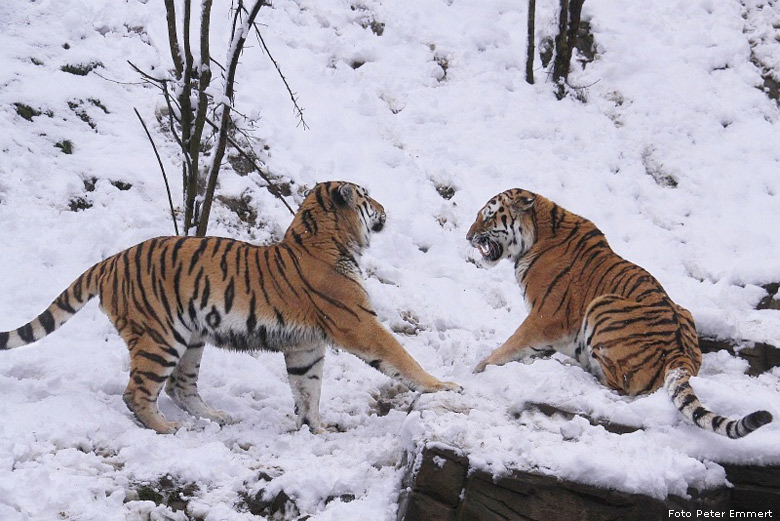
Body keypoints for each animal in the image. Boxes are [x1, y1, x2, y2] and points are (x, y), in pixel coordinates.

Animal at [0, 181, 460, 432]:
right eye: (366, 197)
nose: (384, 210)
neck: (326, 238)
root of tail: (112, 258)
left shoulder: (305, 345)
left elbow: (308, 388)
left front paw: (316, 428)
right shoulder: (359, 323)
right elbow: (400, 356)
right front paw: (443, 386)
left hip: (190, 338)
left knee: (180, 386)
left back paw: (217, 417)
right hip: (159, 338)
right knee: (137, 392)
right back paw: (167, 428)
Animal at [466, 189, 772, 436]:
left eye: (488, 217)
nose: (468, 237)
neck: (539, 232)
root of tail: (680, 353)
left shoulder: (545, 316)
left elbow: (511, 344)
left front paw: (479, 368)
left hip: (603, 305)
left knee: (616, 383)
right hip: (682, 310)